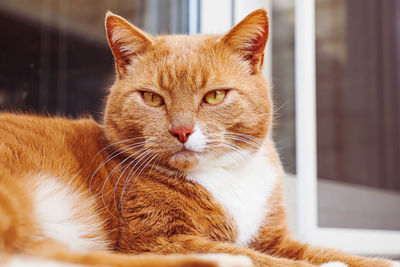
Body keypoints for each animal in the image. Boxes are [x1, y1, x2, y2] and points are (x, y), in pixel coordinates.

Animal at [0, 8, 400, 267]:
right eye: (153, 98)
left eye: (214, 96)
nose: (181, 130)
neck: (223, 176)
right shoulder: (153, 237)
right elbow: (268, 260)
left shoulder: (276, 239)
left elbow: (332, 252)